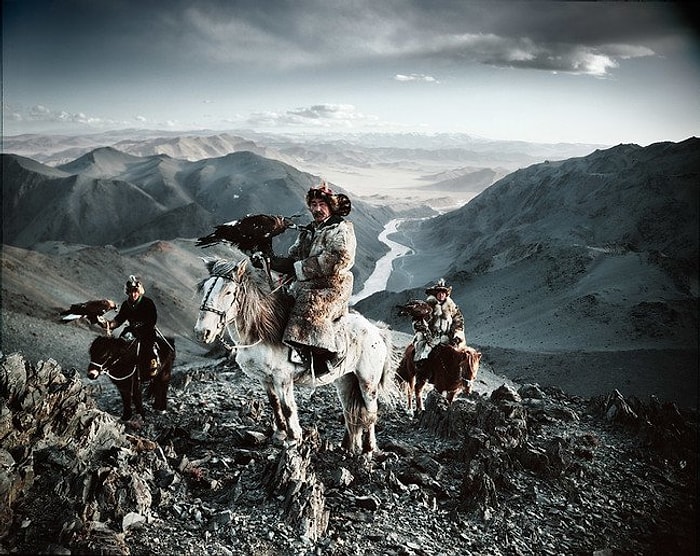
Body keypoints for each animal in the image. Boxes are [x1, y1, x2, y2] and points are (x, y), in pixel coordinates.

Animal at [194, 250, 396, 454]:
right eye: (205, 288)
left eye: (228, 292)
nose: (203, 332)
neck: (261, 331)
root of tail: (376, 331)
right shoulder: (265, 379)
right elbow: (275, 404)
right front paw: (279, 434)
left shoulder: (282, 378)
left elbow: (287, 407)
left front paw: (293, 439)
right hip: (346, 379)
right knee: (349, 410)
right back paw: (346, 447)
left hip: (367, 381)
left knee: (370, 412)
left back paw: (369, 450)